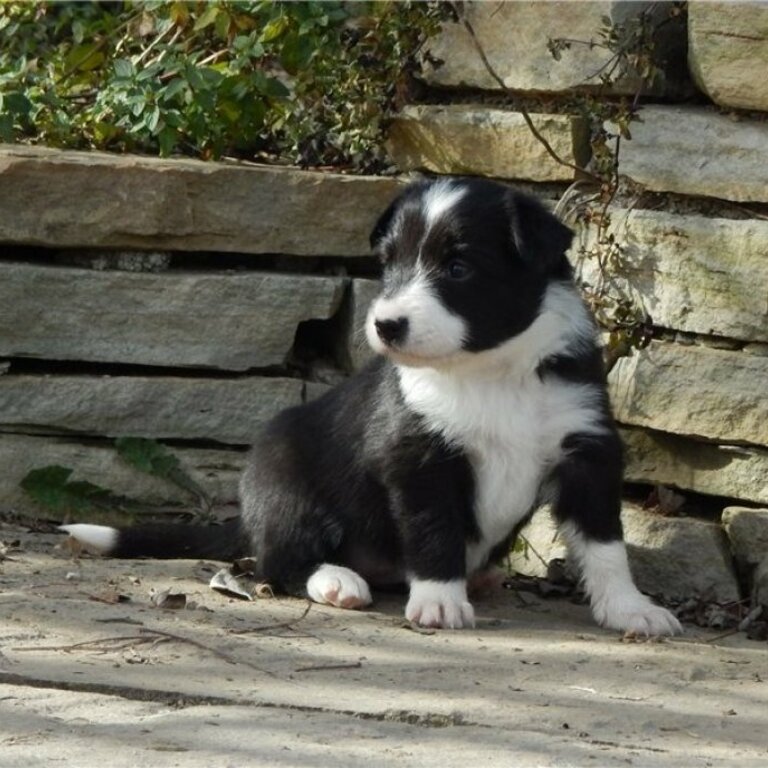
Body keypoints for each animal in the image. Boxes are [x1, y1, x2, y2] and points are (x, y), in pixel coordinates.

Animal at [63, 178, 680, 636]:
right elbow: (433, 529)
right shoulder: (418, 456)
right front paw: (440, 602)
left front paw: (631, 609)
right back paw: (337, 582)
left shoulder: (587, 447)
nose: (386, 325)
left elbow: (605, 543)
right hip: (284, 480)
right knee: (278, 564)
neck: (490, 370)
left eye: (458, 268)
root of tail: (249, 517)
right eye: (389, 264)